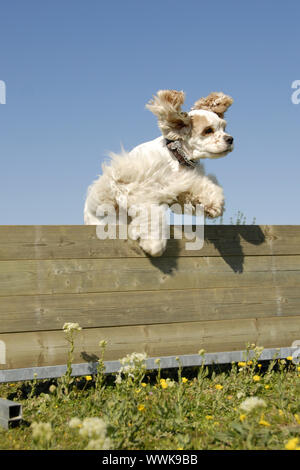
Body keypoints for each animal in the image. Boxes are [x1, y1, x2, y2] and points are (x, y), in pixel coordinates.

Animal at [84, 89, 234, 255]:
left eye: (224, 128)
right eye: (208, 130)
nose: (230, 139)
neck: (175, 157)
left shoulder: (181, 186)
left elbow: (201, 188)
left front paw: (214, 205)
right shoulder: (133, 189)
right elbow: (150, 213)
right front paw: (153, 243)